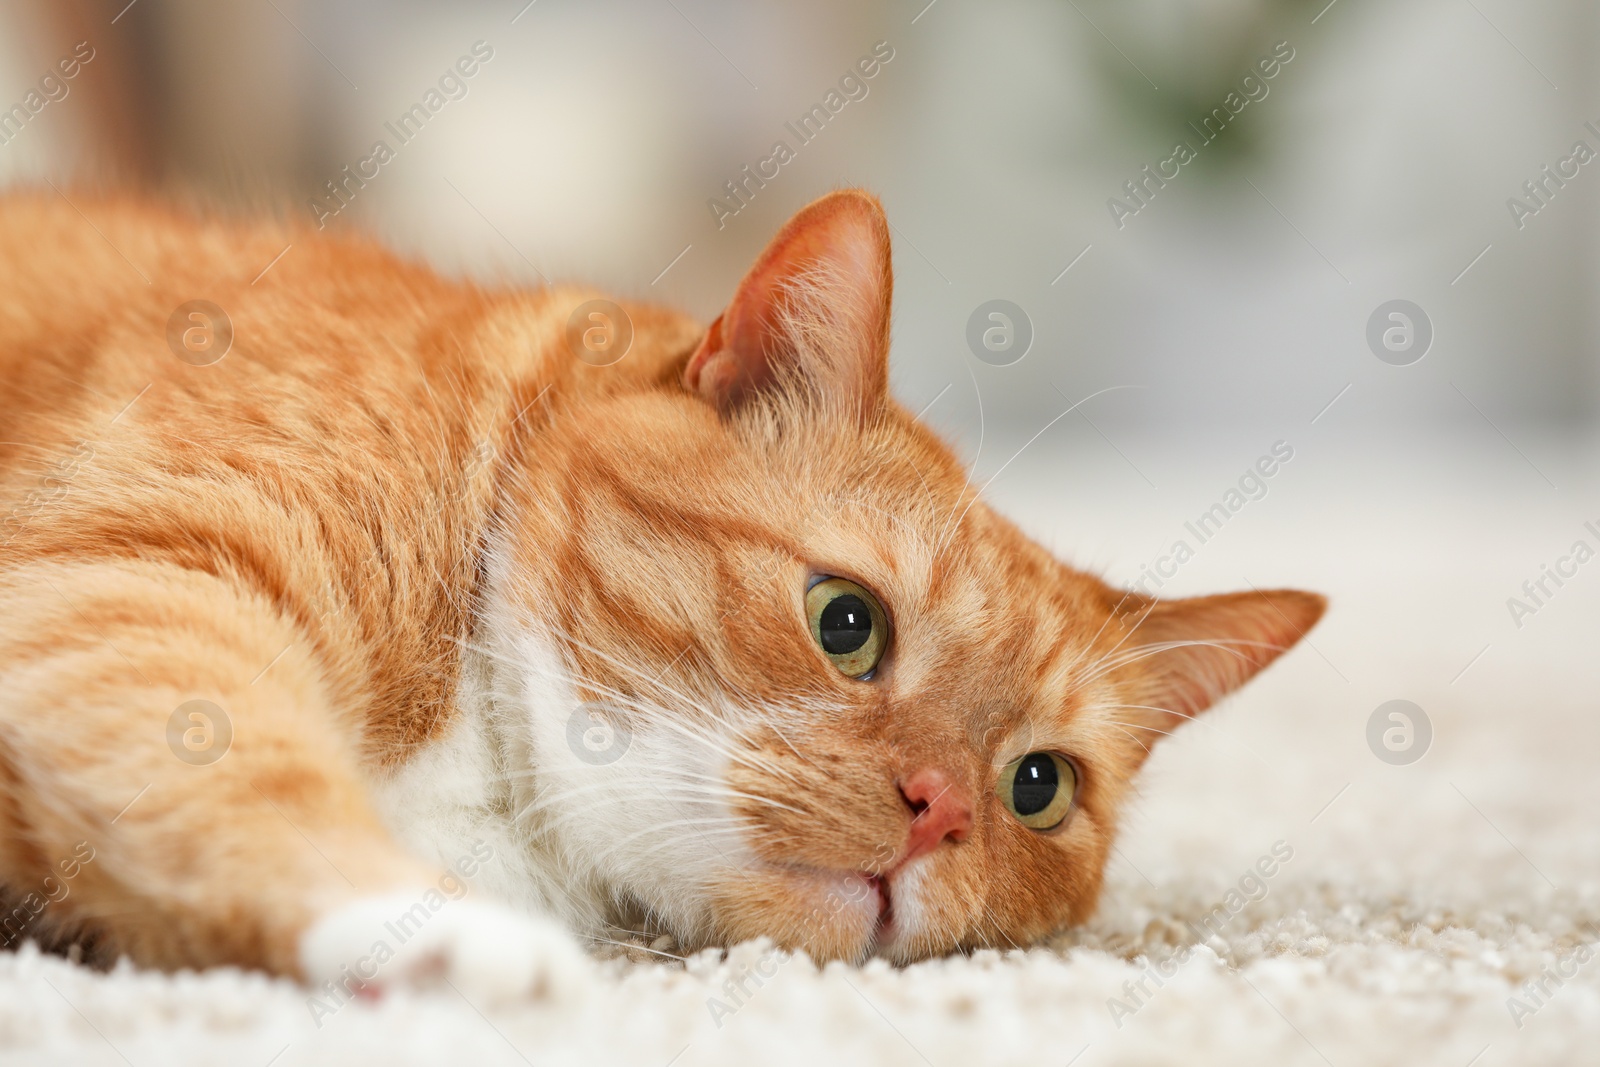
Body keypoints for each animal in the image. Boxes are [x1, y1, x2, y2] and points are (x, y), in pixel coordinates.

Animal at [0, 187, 1324, 1004]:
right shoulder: (141, 577)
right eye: (847, 622)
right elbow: (246, 779)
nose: (940, 808)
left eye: (1037, 785)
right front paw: (446, 934)